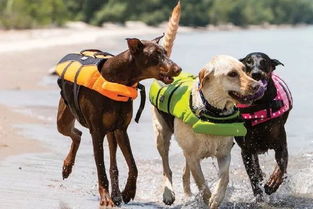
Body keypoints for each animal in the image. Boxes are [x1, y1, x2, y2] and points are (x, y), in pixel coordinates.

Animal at [56, 11, 180, 206]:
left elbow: (133, 165)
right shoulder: (97, 131)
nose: (178, 69)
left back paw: (115, 193)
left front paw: (128, 191)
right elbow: (101, 169)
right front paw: (105, 198)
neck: (118, 80)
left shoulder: (121, 129)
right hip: (64, 118)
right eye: (155, 55)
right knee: (76, 133)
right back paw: (68, 167)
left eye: (165, 53)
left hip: (111, 132)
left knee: (108, 159)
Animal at [150, 54, 260, 208]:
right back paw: (168, 194)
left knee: (184, 172)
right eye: (232, 74)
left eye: (244, 69)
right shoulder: (193, 157)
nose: (257, 86)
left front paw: (217, 198)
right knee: (166, 167)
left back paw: (188, 194)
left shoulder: (224, 153)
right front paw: (209, 199)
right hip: (162, 136)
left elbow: (224, 177)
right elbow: (201, 182)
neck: (213, 112)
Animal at [235, 51, 292, 200]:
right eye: (248, 62)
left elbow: (281, 165)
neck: (259, 105)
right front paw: (258, 195)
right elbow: (252, 175)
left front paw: (272, 184)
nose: (256, 74)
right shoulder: (246, 149)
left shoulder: (280, 144)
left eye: (264, 61)